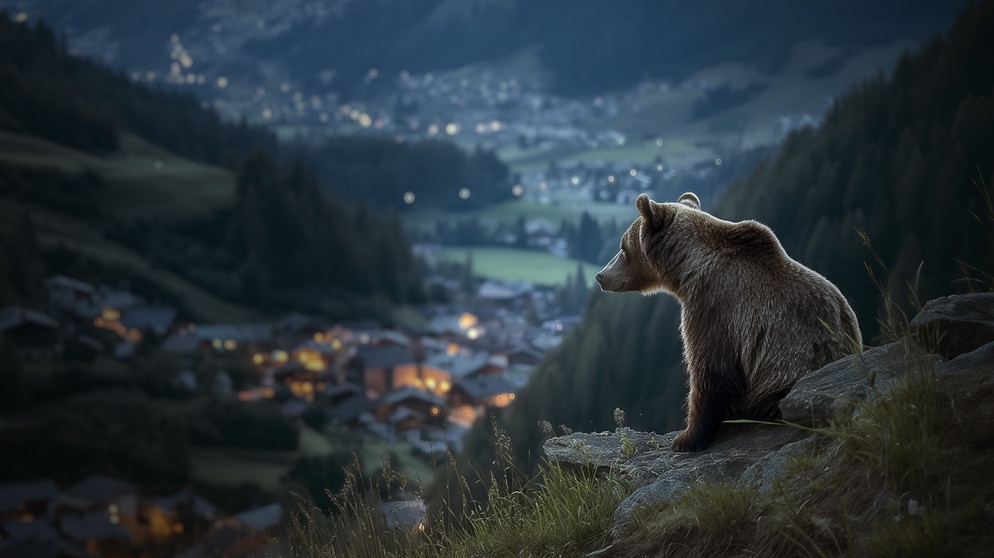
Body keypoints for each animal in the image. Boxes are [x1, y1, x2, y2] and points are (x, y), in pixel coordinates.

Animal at [596, 195, 860, 452]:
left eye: (623, 247)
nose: (600, 276)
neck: (687, 268)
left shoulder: (715, 307)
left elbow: (711, 370)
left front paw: (686, 439)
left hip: (780, 385)